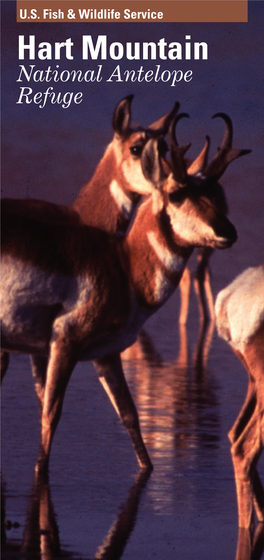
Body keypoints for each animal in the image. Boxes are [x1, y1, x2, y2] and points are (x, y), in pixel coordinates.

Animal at [1, 128, 241, 476]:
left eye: (210, 191)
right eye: (176, 194)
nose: (228, 231)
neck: (123, 262)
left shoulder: (107, 355)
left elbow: (131, 417)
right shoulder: (64, 344)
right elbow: (50, 413)